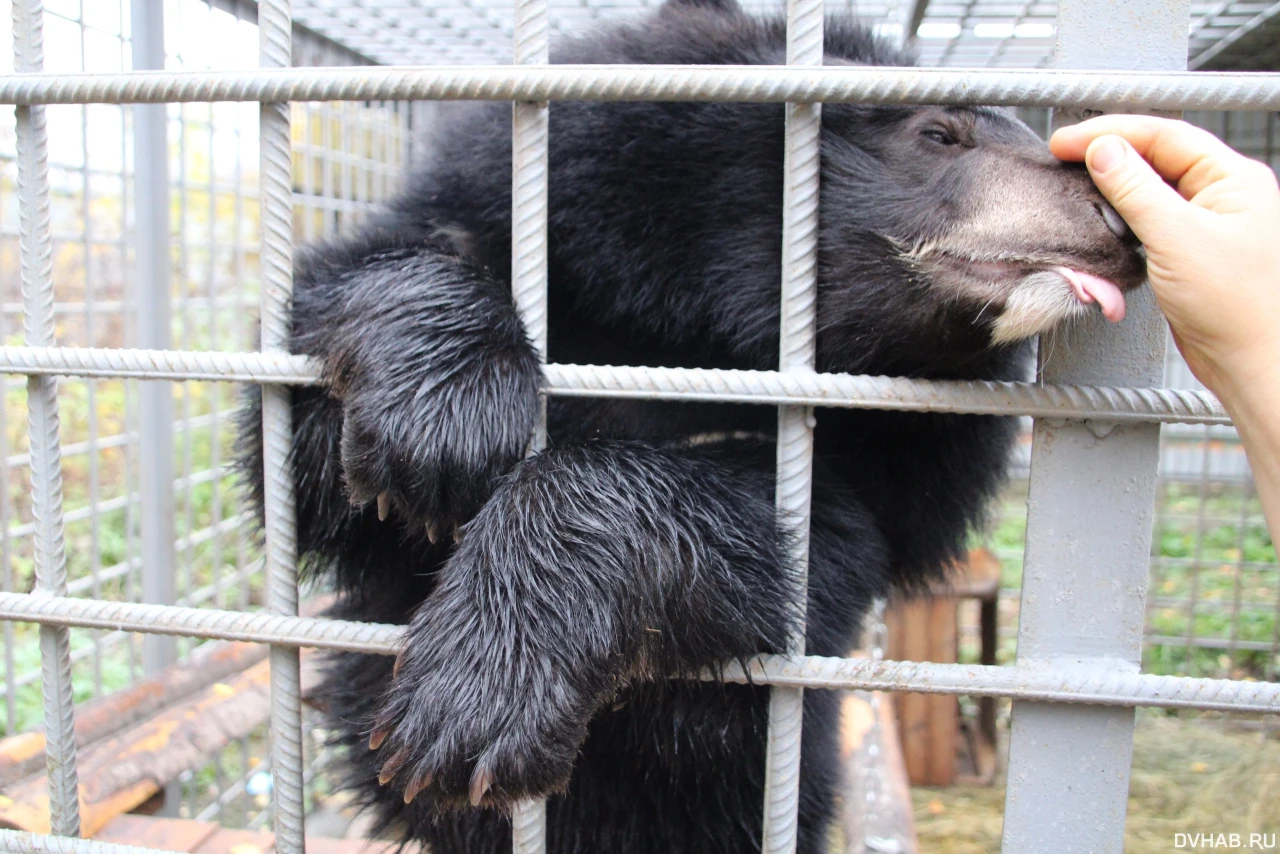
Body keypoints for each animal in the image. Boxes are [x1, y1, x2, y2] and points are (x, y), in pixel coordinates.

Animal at [240, 3, 1152, 850]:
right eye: (938, 134)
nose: (1119, 221)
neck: (708, 320)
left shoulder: (901, 470)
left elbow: (803, 549)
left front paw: (477, 696)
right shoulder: (521, 214)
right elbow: (315, 465)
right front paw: (439, 422)